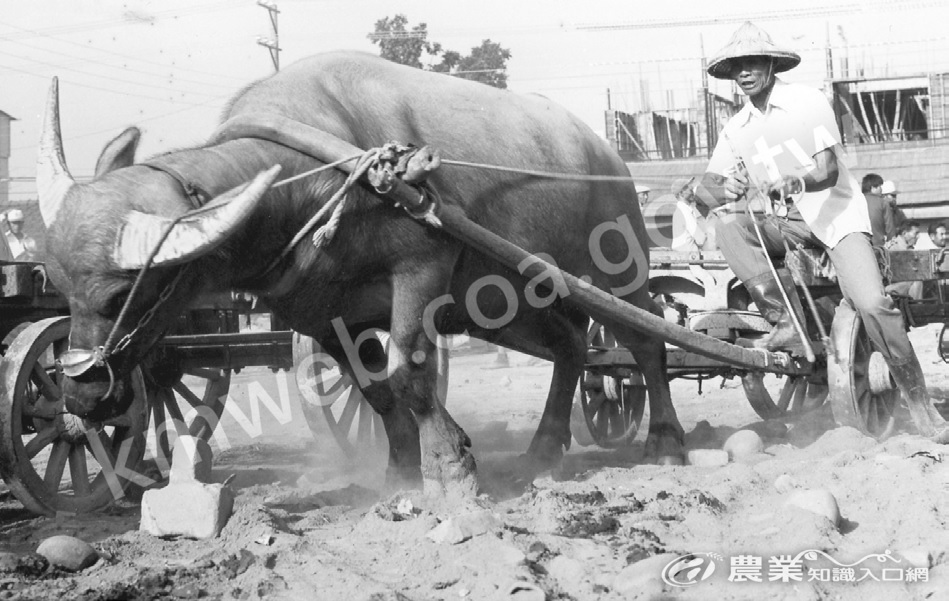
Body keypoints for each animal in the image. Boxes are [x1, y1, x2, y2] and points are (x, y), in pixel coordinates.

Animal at [37, 50, 680, 492]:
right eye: (59, 288)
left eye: (127, 290)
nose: (81, 393)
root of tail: (607, 156)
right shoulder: (326, 319)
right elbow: (376, 393)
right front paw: (399, 471)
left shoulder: (422, 269)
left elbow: (409, 375)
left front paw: (451, 465)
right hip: (512, 300)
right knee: (572, 344)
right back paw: (544, 448)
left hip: (619, 267)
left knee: (646, 339)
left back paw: (666, 440)